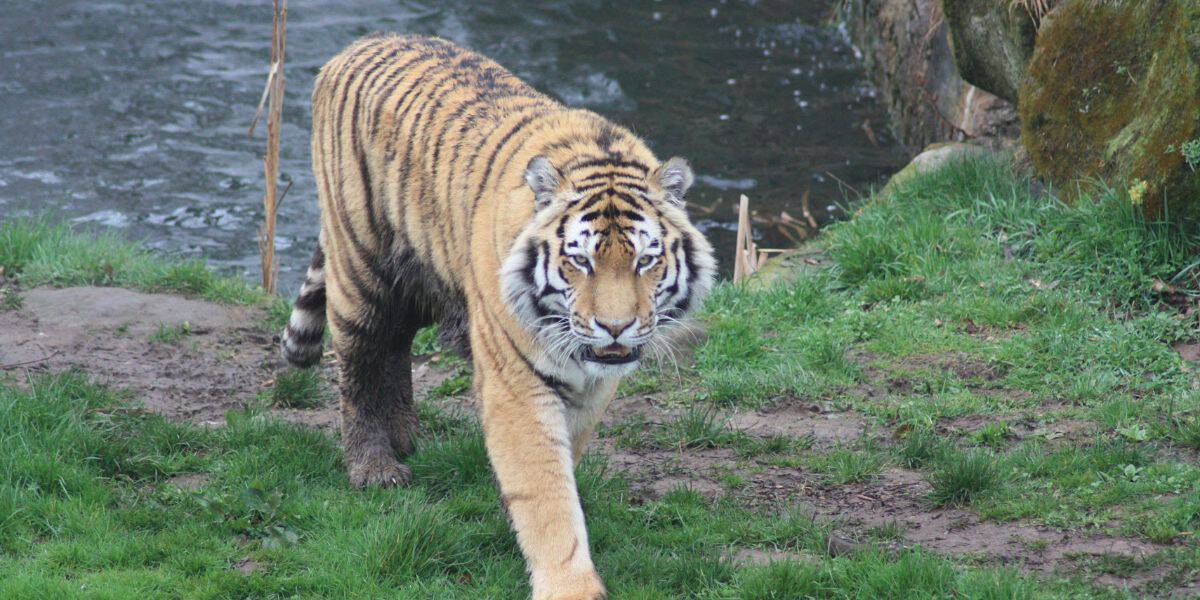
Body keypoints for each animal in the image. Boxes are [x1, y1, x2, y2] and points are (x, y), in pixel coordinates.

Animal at [280, 33, 715, 599]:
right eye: (581, 261)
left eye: (646, 259)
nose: (615, 327)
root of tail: (358, 44)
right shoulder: (516, 379)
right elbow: (545, 488)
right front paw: (569, 584)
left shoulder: (594, 384)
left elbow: (564, 457)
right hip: (360, 264)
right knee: (359, 361)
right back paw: (374, 467)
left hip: (420, 273)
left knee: (396, 345)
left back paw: (406, 437)